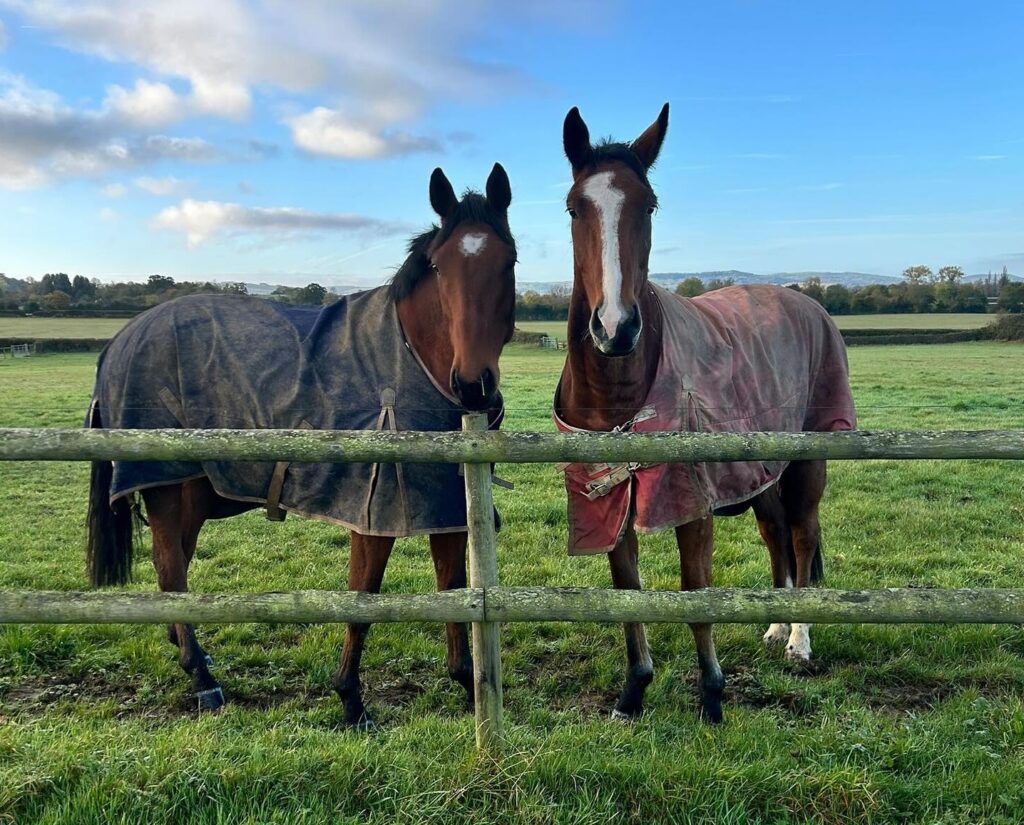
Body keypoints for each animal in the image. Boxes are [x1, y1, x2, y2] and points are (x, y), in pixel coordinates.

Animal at [86, 162, 520, 728]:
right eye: (438, 266)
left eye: (508, 260)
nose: (473, 385)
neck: (410, 357)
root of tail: (120, 339)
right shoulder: (374, 509)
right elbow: (364, 598)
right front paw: (351, 700)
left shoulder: (442, 503)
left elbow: (452, 589)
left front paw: (468, 684)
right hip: (165, 483)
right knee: (169, 566)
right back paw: (203, 680)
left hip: (193, 491)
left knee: (174, 566)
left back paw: (189, 653)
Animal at [552, 104, 856, 724]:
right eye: (575, 207)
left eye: (648, 206)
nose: (615, 328)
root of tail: (805, 300)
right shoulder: (610, 500)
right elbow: (628, 593)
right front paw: (633, 692)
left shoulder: (690, 501)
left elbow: (695, 591)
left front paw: (712, 697)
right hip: (762, 474)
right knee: (776, 536)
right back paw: (775, 627)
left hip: (808, 463)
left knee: (804, 536)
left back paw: (799, 639)